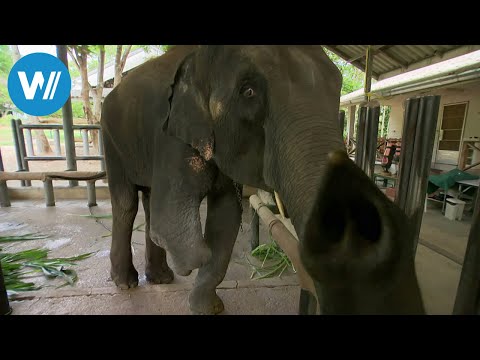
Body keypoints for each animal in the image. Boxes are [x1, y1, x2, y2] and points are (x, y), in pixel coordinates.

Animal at [100, 45, 424, 316]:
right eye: (249, 91)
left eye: (337, 88)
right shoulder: (171, 134)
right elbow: (173, 225)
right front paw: (185, 265)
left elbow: (227, 216)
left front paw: (208, 308)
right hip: (110, 137)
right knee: (126, 203)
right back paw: (126, 283)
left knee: (147, 199)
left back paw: (161, 278)